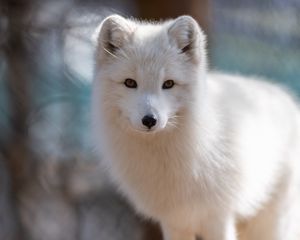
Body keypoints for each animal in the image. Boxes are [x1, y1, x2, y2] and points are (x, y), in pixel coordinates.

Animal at [91, 15, 300, 240]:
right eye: (130, 83)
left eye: (168, 84)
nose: (149, 120)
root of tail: (286, 98)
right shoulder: (173, 222)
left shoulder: (218, 217)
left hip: (270, 224)